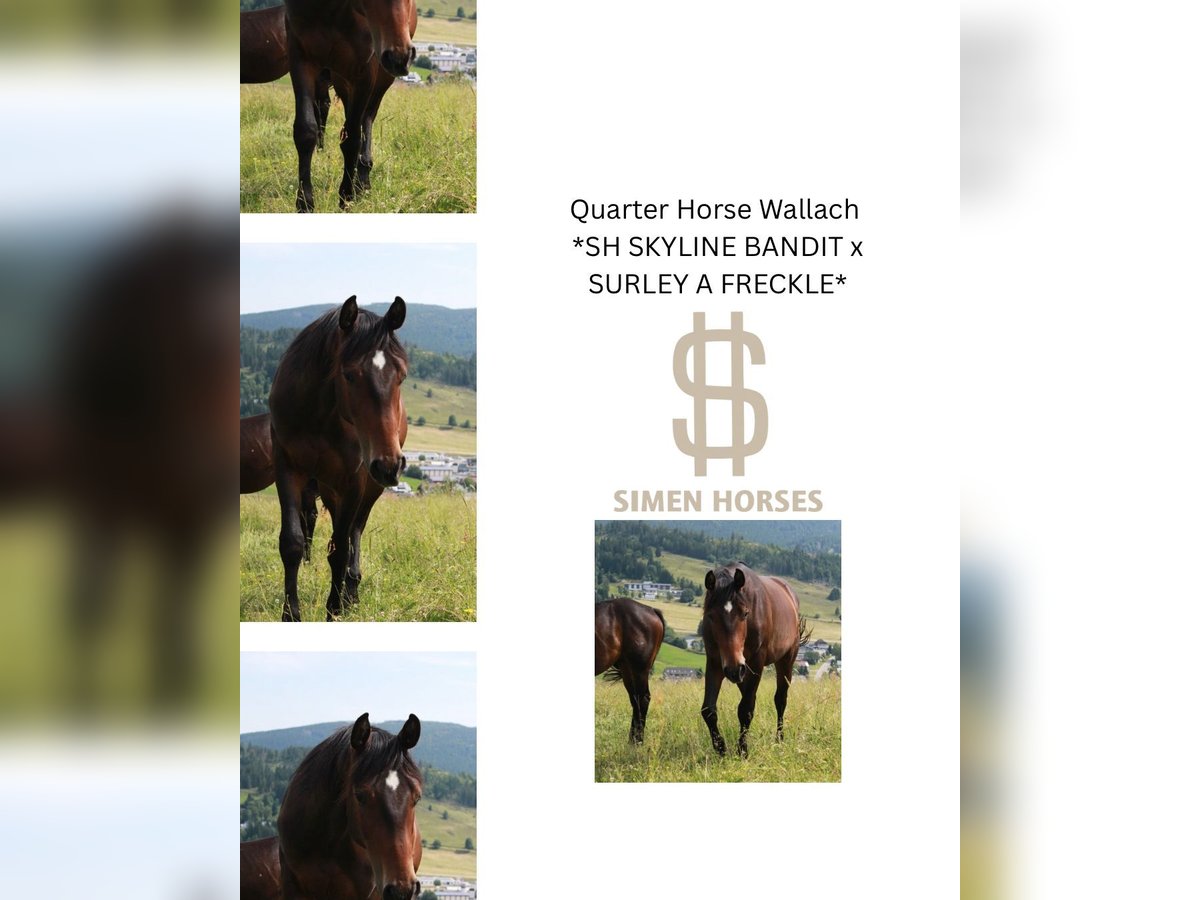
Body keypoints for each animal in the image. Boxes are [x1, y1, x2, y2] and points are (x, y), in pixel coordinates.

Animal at [269, 296, 408, 621]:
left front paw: (334, 608)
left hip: (368, 488)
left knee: (354, 532)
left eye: (402, 375)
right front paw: (291, 613)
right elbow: (292, 542)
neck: (318, 415)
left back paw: (351, 592)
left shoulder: (354, 480)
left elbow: (342, 549)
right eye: (349, 375)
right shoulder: (287, 469)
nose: (390, 465)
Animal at [283, 0, 418, 211]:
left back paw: (363, 179)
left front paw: (346, 197)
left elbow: (352, 139)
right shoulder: (301, 58)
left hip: (380, 76)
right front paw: (305, 202)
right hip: (341, 78)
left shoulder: (365, 69)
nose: (400, 56)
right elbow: (305, 131)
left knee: (367, 117)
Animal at [595, 598, 666, 744]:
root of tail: (652, 610)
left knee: (642, 699)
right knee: (635, 700)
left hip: (639, 669)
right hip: (628, 669)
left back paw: (637, 742)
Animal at [698, 563, 814, 757]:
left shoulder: (756, 664)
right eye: (711, 616)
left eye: (745, 613)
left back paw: (779, 739)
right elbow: (708, 709)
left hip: (785, 660)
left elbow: (746, 709)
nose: (734, 669)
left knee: (780, 699)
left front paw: (743, 750)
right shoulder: (715, 663)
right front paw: (720, 748)